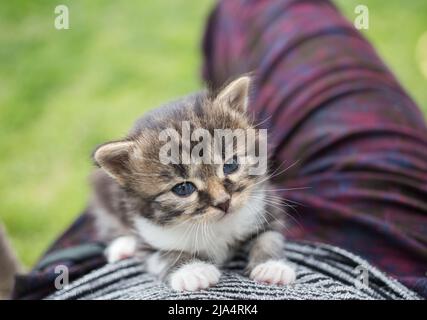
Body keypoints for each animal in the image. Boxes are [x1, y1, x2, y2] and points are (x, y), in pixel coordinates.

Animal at [90, 76, 298, 292]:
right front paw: (192, 271)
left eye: (231, 165)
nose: (224, 202)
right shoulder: (149, 236)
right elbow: (165, 254)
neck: (214, 226)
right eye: (183, 189)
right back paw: (122, 246)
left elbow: (269, 237)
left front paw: (271, 266)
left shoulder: (265, 204)